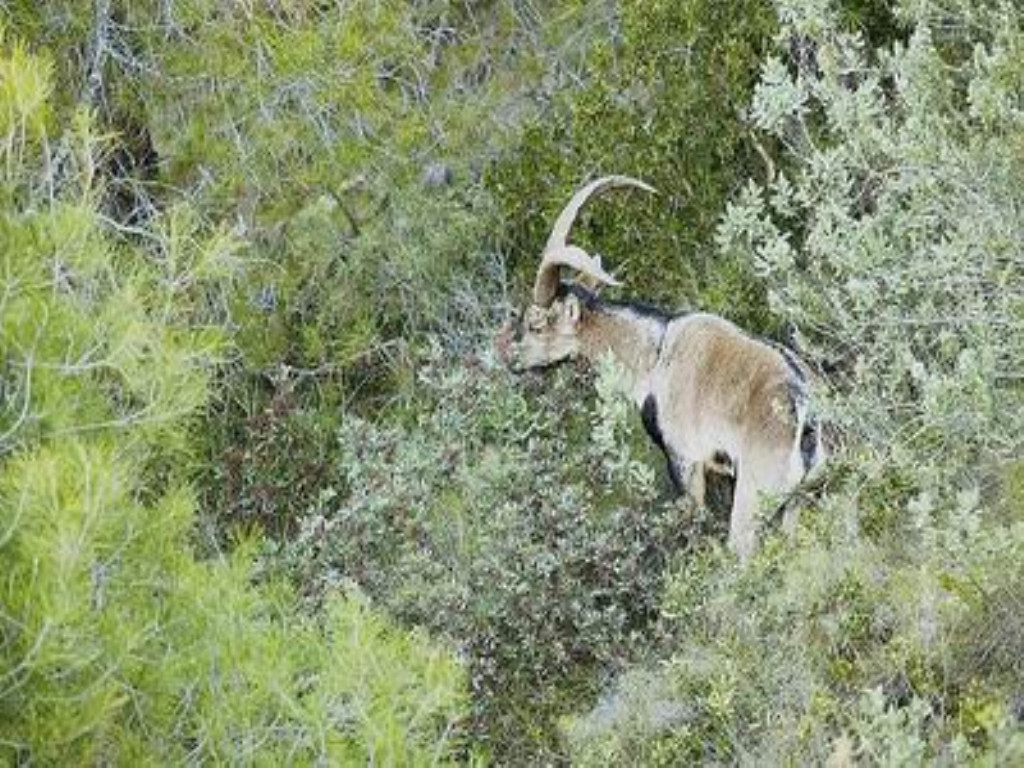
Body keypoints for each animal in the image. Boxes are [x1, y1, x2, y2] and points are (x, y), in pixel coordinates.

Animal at [495, 176, 823, 561]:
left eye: (535, 324)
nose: (507, 355)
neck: (655, 355)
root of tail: (803, 417)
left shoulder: (685, 461)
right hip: (796, 505)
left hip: (751, 502)